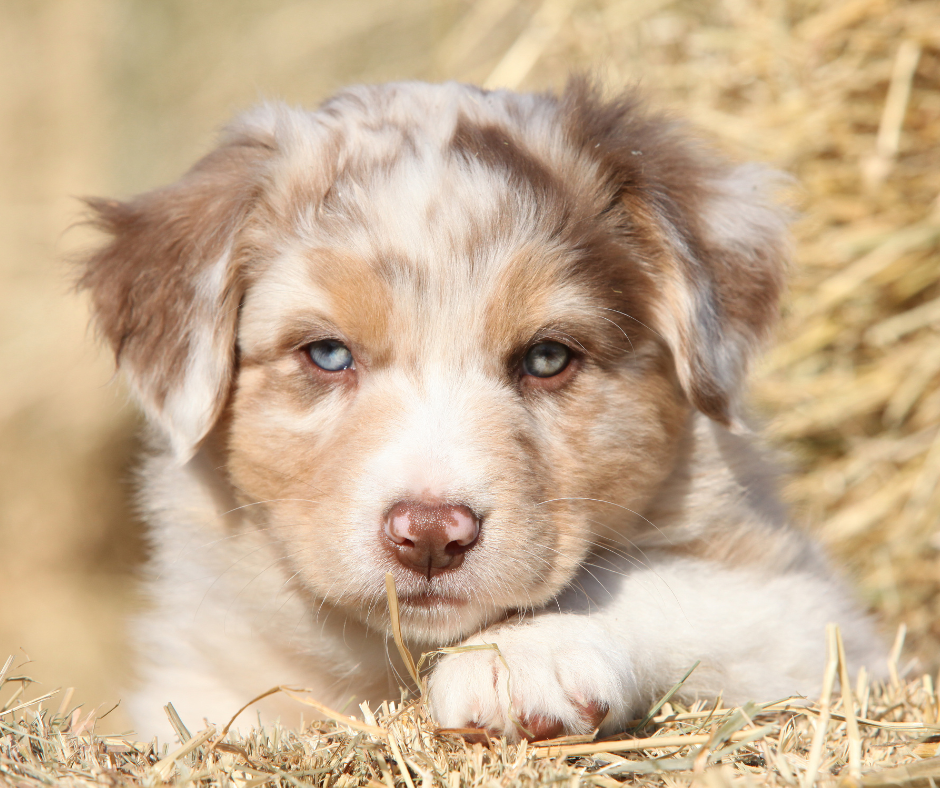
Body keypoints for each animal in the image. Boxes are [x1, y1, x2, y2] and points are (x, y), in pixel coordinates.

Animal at [79, 78, 880, 740]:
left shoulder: (813, 615)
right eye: (329, 355)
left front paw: (522, 658)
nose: (431, 535)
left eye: (548, 358)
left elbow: (655, 583)